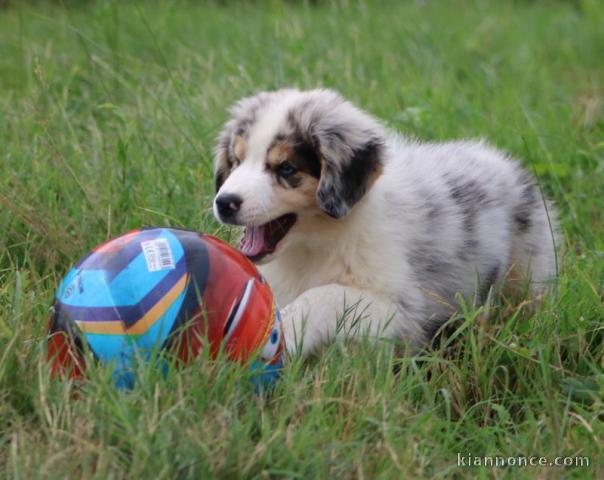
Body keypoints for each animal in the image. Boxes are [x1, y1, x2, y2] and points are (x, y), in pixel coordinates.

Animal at [211, 88, 556, 354]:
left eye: (286, 168)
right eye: (237, 161)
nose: (224, 203)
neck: (317, 244)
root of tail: (504, 162)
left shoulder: (401, 310)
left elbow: (326, 294)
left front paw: (287, 335)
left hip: (530, 268)